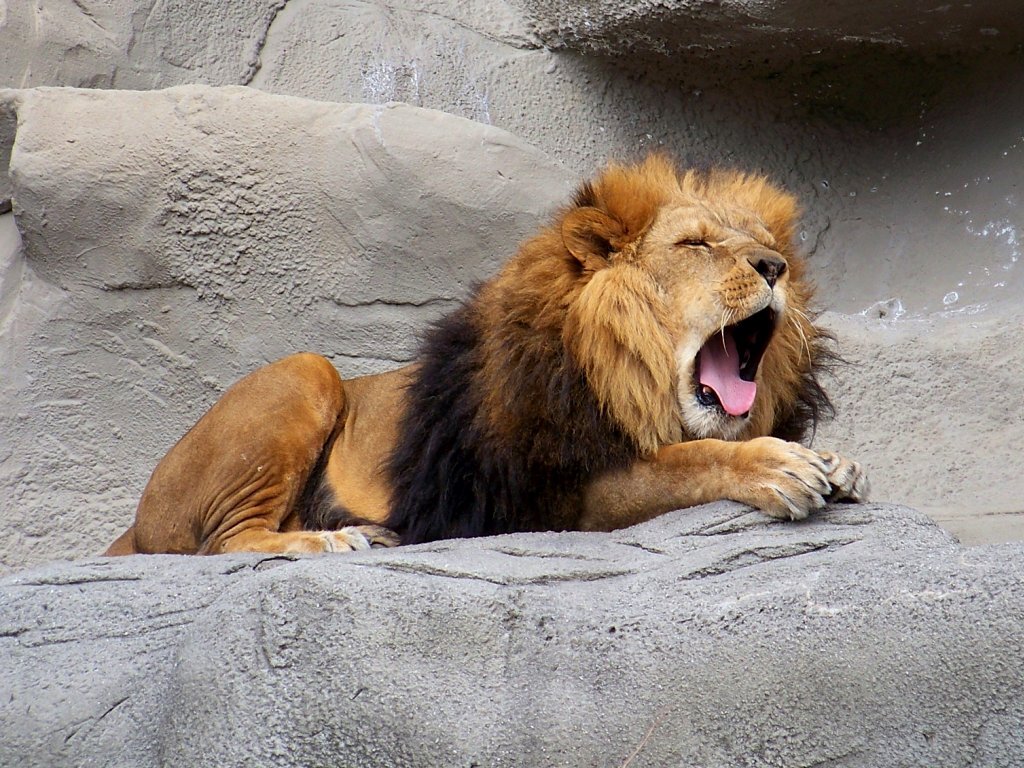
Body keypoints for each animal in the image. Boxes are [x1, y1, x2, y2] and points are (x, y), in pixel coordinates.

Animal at [104, 154, 867, 557]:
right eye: (697, 244)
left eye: (762, 242)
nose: (774, 267)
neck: (618, 376)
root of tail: (131, 527)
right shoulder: (552, 495)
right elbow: (687, 461)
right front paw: (778, 466)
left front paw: (837, 460)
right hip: (305, 370)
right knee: (221, 543)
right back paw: (327, 541)